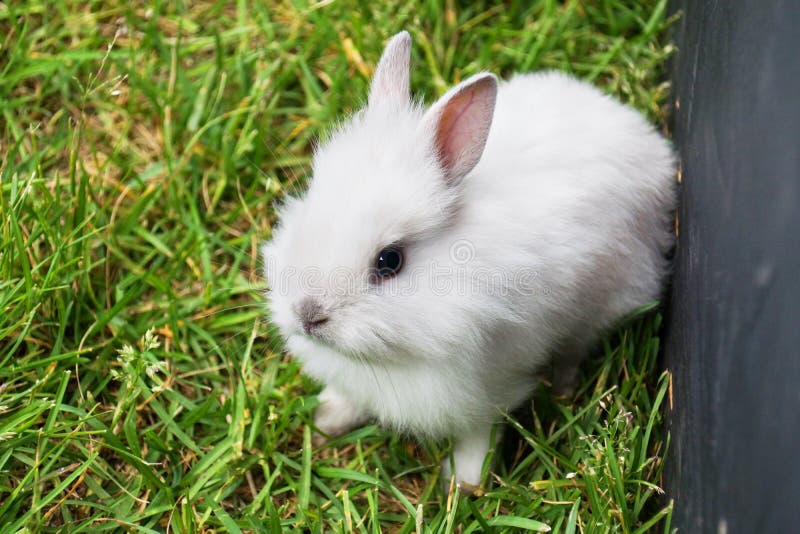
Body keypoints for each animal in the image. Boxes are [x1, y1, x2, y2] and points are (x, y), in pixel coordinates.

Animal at [261, 31, 675, 490]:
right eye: (310, 209)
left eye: (390, 261)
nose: (307, 314)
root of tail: (655, 152)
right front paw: (325, 420)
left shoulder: (488, 387)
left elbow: (479, 434)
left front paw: (464, 484)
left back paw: (564, 386)